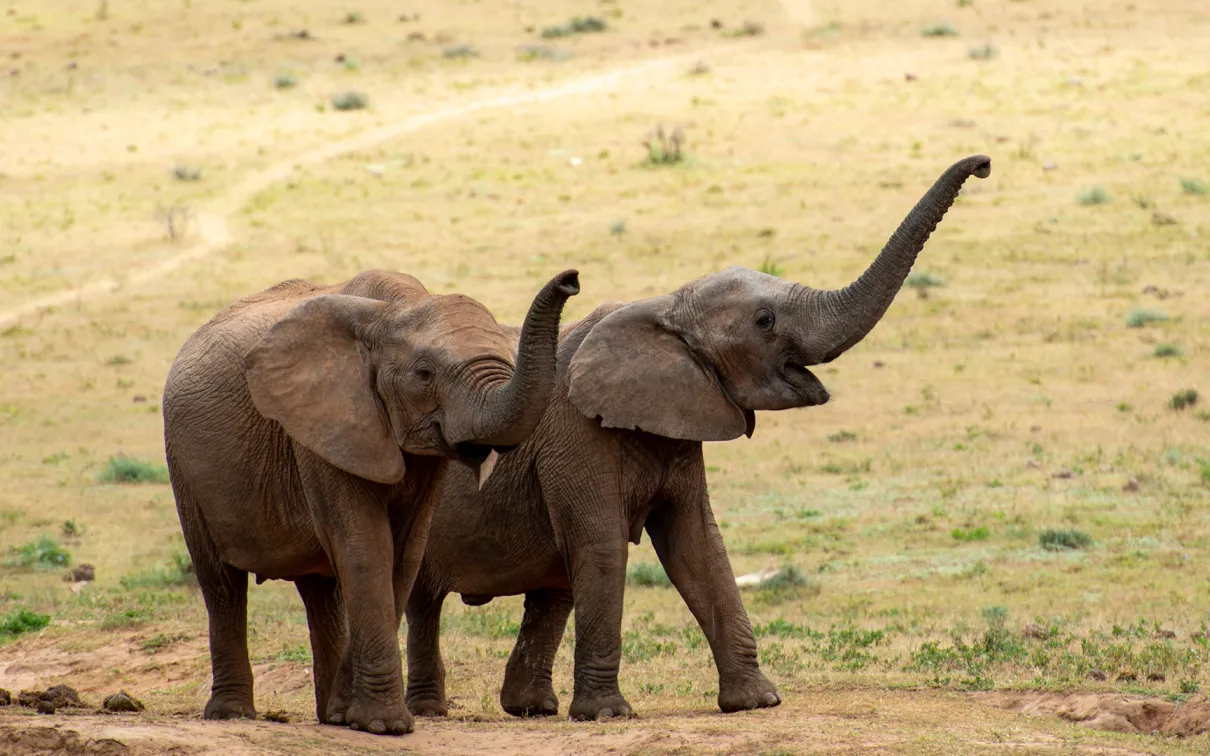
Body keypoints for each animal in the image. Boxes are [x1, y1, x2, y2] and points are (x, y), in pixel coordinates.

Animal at [162, 267, 580, 735]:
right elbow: (366, 546)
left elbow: (405, 553)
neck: (392, 312)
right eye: (424, 374)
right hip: (184, 468)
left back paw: (329, 717)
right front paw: (385, 725)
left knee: (320, 593)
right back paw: (232, 713)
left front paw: (352, 716)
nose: (571, 279)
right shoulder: (323, 423)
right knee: (221, 583)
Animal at [403, 155, 992, 721]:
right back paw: (431, 711)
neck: (663, 307)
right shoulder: (575, 434)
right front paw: (609, 715)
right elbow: (603, 545)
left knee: (550, 588)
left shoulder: (682, 424)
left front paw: (757, 702)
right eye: (764, 320)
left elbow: (698, 544)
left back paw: (531, 709)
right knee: (426, 597)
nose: (984, 165)